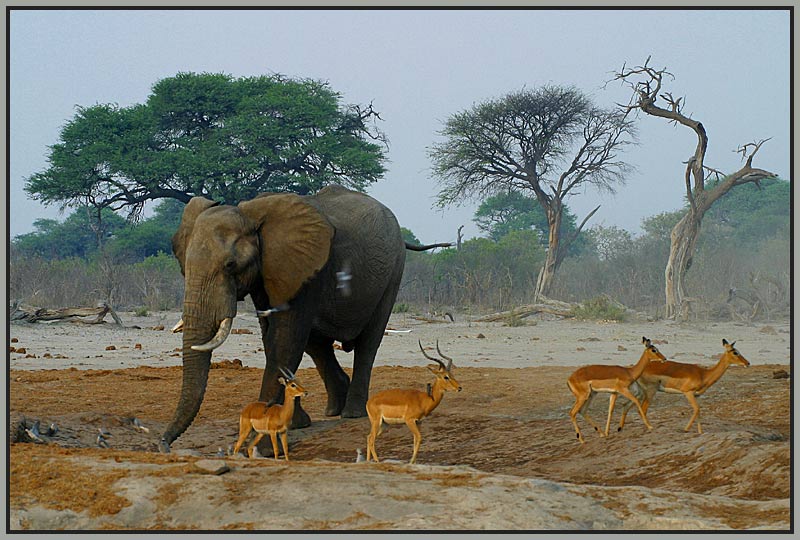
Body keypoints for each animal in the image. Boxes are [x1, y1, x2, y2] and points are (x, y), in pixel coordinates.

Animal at [159, 185, 446, 452]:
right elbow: (272, 337)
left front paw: (265, 444)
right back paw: (334, 408)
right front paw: (295, 425)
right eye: (183, 267)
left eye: (231, 265)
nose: (164, 444)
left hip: (393, 272)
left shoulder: (302, 268)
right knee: (317, 344)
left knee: (368, 341)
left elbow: (286, 339)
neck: (250, 214)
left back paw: (352, 412)